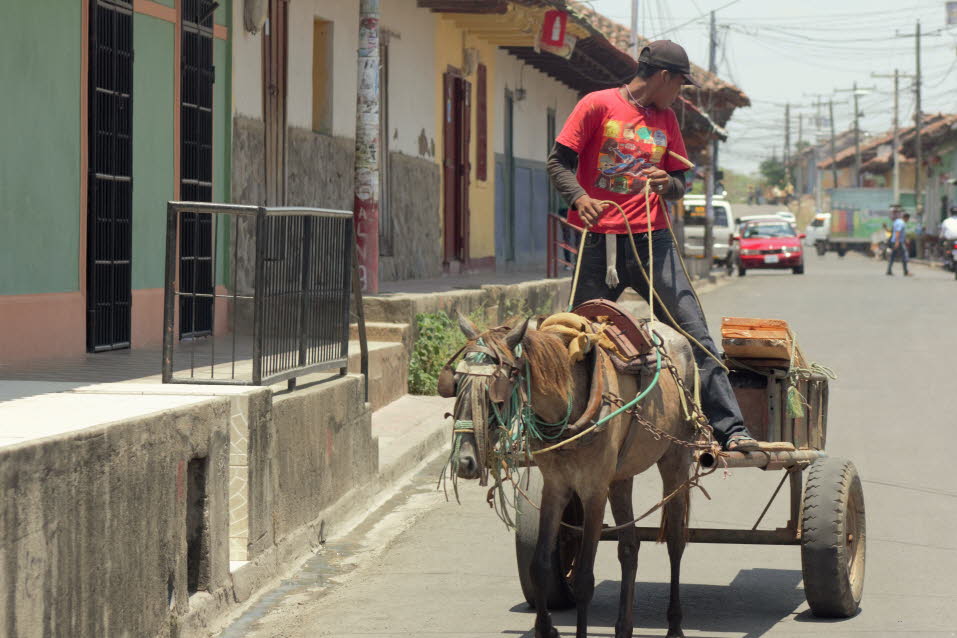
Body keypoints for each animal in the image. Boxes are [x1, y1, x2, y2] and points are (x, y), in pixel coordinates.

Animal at [448, 316, 704, 638]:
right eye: (457, 384)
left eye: (494, 394)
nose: (464, 462)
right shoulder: (555, 487)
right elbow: (539, 566)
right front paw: (546, 629)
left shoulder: (594, 492)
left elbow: (584, 578)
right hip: (620, 478)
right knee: (629, 547)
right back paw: (624, 627)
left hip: (675, 460)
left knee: (675, 542)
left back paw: (674, 626)